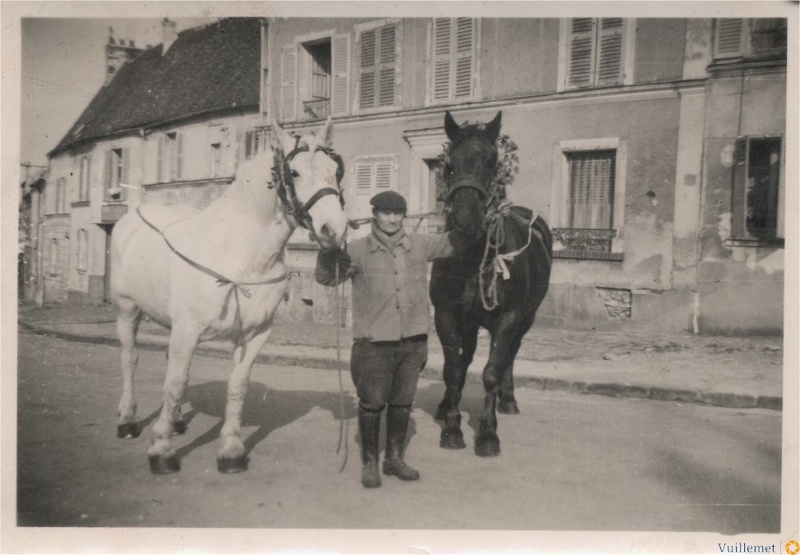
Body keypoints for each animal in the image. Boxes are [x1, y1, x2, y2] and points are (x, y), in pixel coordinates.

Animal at [111, 117, 348, 474]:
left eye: (335, 170)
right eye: (294, 173)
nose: (334, 230)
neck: (239, 252)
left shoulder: (255, 334)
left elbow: (236, 388)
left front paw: (231, 451)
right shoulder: (188, 330)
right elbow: (175, 383)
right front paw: (162, 451)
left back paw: (176, 421)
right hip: (128, 310)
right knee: (129, 360)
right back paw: (128, 420)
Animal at [432, 111, 552, 458]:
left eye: (492, 161)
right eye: (448, 165)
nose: (465, 221)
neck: (474, 256)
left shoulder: (509, 319)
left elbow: (491, 372)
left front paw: (487, 434)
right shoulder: (446, 315)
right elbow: (453, 369)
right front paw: (452, 427)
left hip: (526, 318)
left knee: (510, 355)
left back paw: (507, 400)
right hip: (470, 322)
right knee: (464, 359)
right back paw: (446, 405)